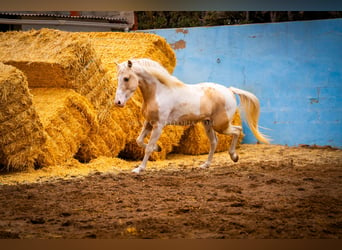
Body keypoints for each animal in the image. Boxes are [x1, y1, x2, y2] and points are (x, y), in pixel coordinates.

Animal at [115, 58, 270, 174]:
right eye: (118, 79)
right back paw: (205, 165)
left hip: (220, 125)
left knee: (237, 130)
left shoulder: (159, 125)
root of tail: (229, 91)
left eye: (126, 78)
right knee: (214, 142)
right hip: (208, 124)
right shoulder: (149, 122)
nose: (118, 102)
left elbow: (147, 147)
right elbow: (139, 141)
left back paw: (234, 156)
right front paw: (158, 148)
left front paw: (139, 169)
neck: (159, 92)